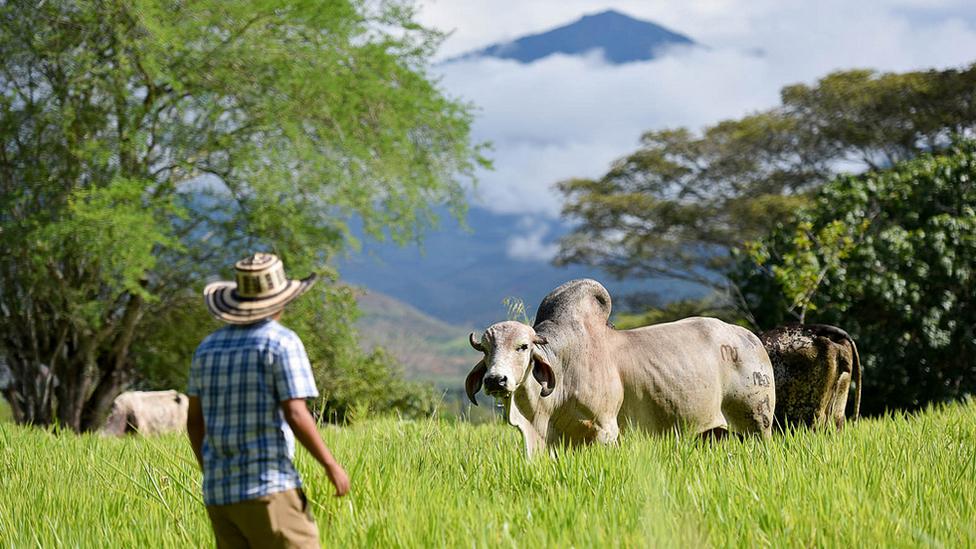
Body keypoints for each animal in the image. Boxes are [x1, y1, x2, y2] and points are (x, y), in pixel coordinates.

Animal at [468, 280, 776, 456]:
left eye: (522, 347)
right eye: (485, 349)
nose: (495, 380)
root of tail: (750, 338)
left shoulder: (606, 430)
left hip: (758, 421)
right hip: (714, 432)